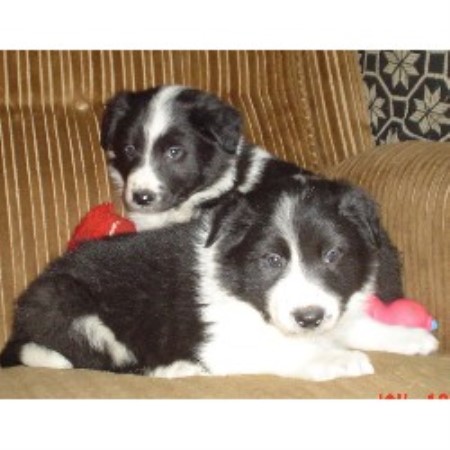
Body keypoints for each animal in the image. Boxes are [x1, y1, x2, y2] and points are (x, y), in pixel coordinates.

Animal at [0, 178, 436, 382]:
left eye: (333, 255)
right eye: (271, 260)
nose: (309, 317)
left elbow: (358, 325)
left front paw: (411, 338)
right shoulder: (221, 344)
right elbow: (284, 350)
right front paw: (335, 360)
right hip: (68, 308)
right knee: (99, 363)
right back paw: (175, 369)